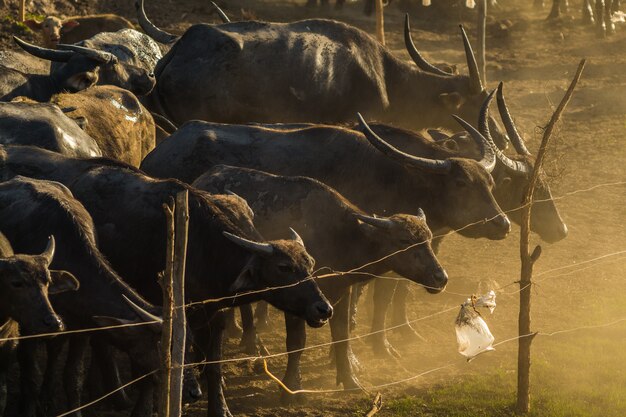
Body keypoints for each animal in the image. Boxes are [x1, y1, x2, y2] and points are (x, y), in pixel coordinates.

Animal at [193, 163, 446, 396]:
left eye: (428, 238)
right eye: (405, 241)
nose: (441, 278)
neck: (340, 236)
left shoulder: (340, 293)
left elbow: (342, 336)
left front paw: (350, 381)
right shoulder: (295, 299)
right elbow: (296, 343)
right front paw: (292, 387)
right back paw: (250, 343)